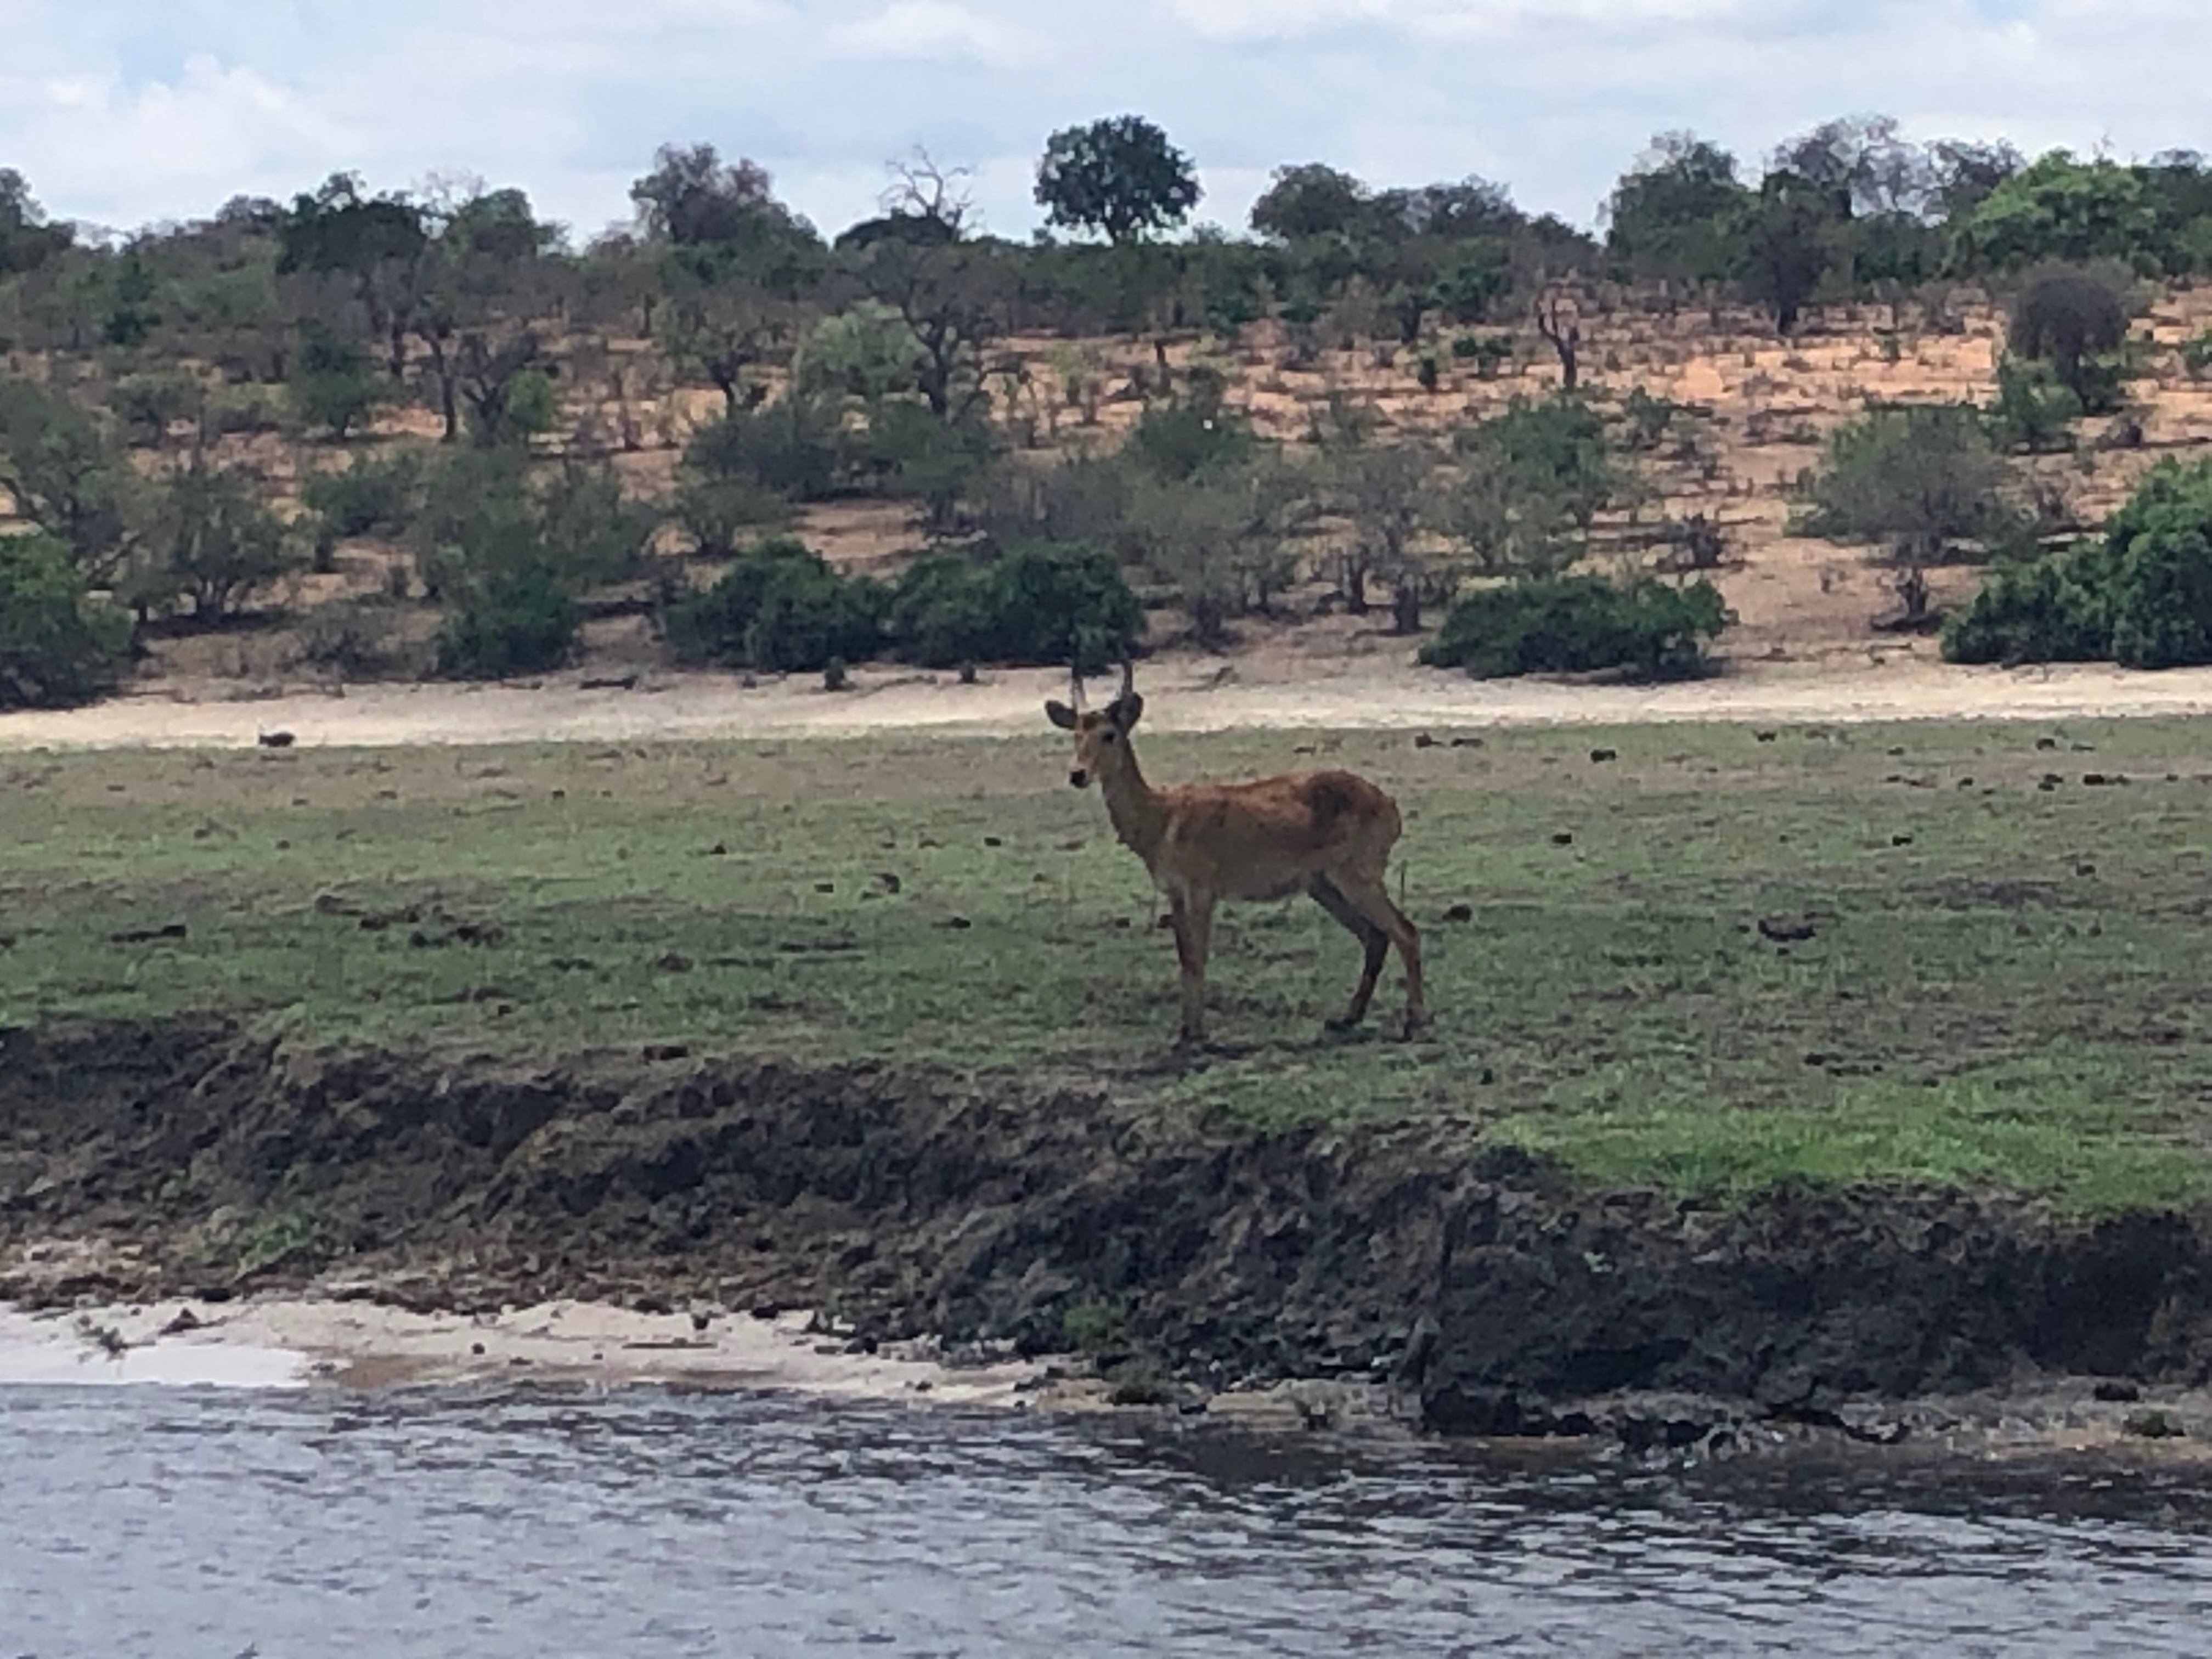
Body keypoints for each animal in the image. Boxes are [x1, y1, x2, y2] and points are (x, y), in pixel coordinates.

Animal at [1044, 654, 1424, 1044]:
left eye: (1110, 734)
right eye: (1076, 734)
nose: (1077, 774)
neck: (1163, 819)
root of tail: (1389, 805)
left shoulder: (1201, 891)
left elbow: (1199, 956)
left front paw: (1197, 1034)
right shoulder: (1174, 893)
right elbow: (1185, 957)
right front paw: (1185, 1031)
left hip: (1357, 877)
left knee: (1405, 932)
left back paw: (1412, 1023)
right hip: (1324, 886)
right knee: (1376, 937)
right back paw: (1345, 1019)